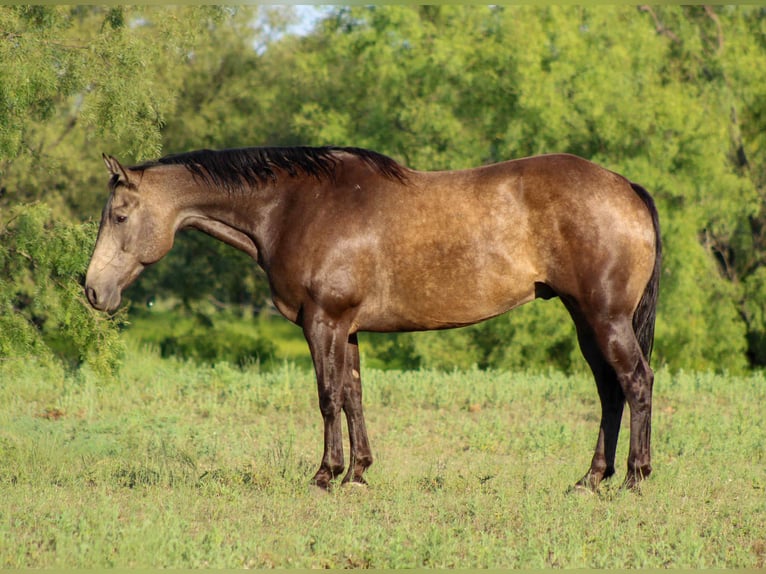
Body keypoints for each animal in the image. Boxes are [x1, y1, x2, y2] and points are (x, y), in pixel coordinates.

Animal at [85, 146, 661, 492]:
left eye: (120, 216)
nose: (92, 290)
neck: (296, 206)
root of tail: (626, 186)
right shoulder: (349, 328)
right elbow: (353, 395)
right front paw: (358, 474)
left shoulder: (323, 322)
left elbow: (327, 397)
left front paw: (325, 474)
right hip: (586, 321)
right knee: (609, 392)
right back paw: (591, 479)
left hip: (605, 318)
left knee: (636, 382)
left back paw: (634, 478)